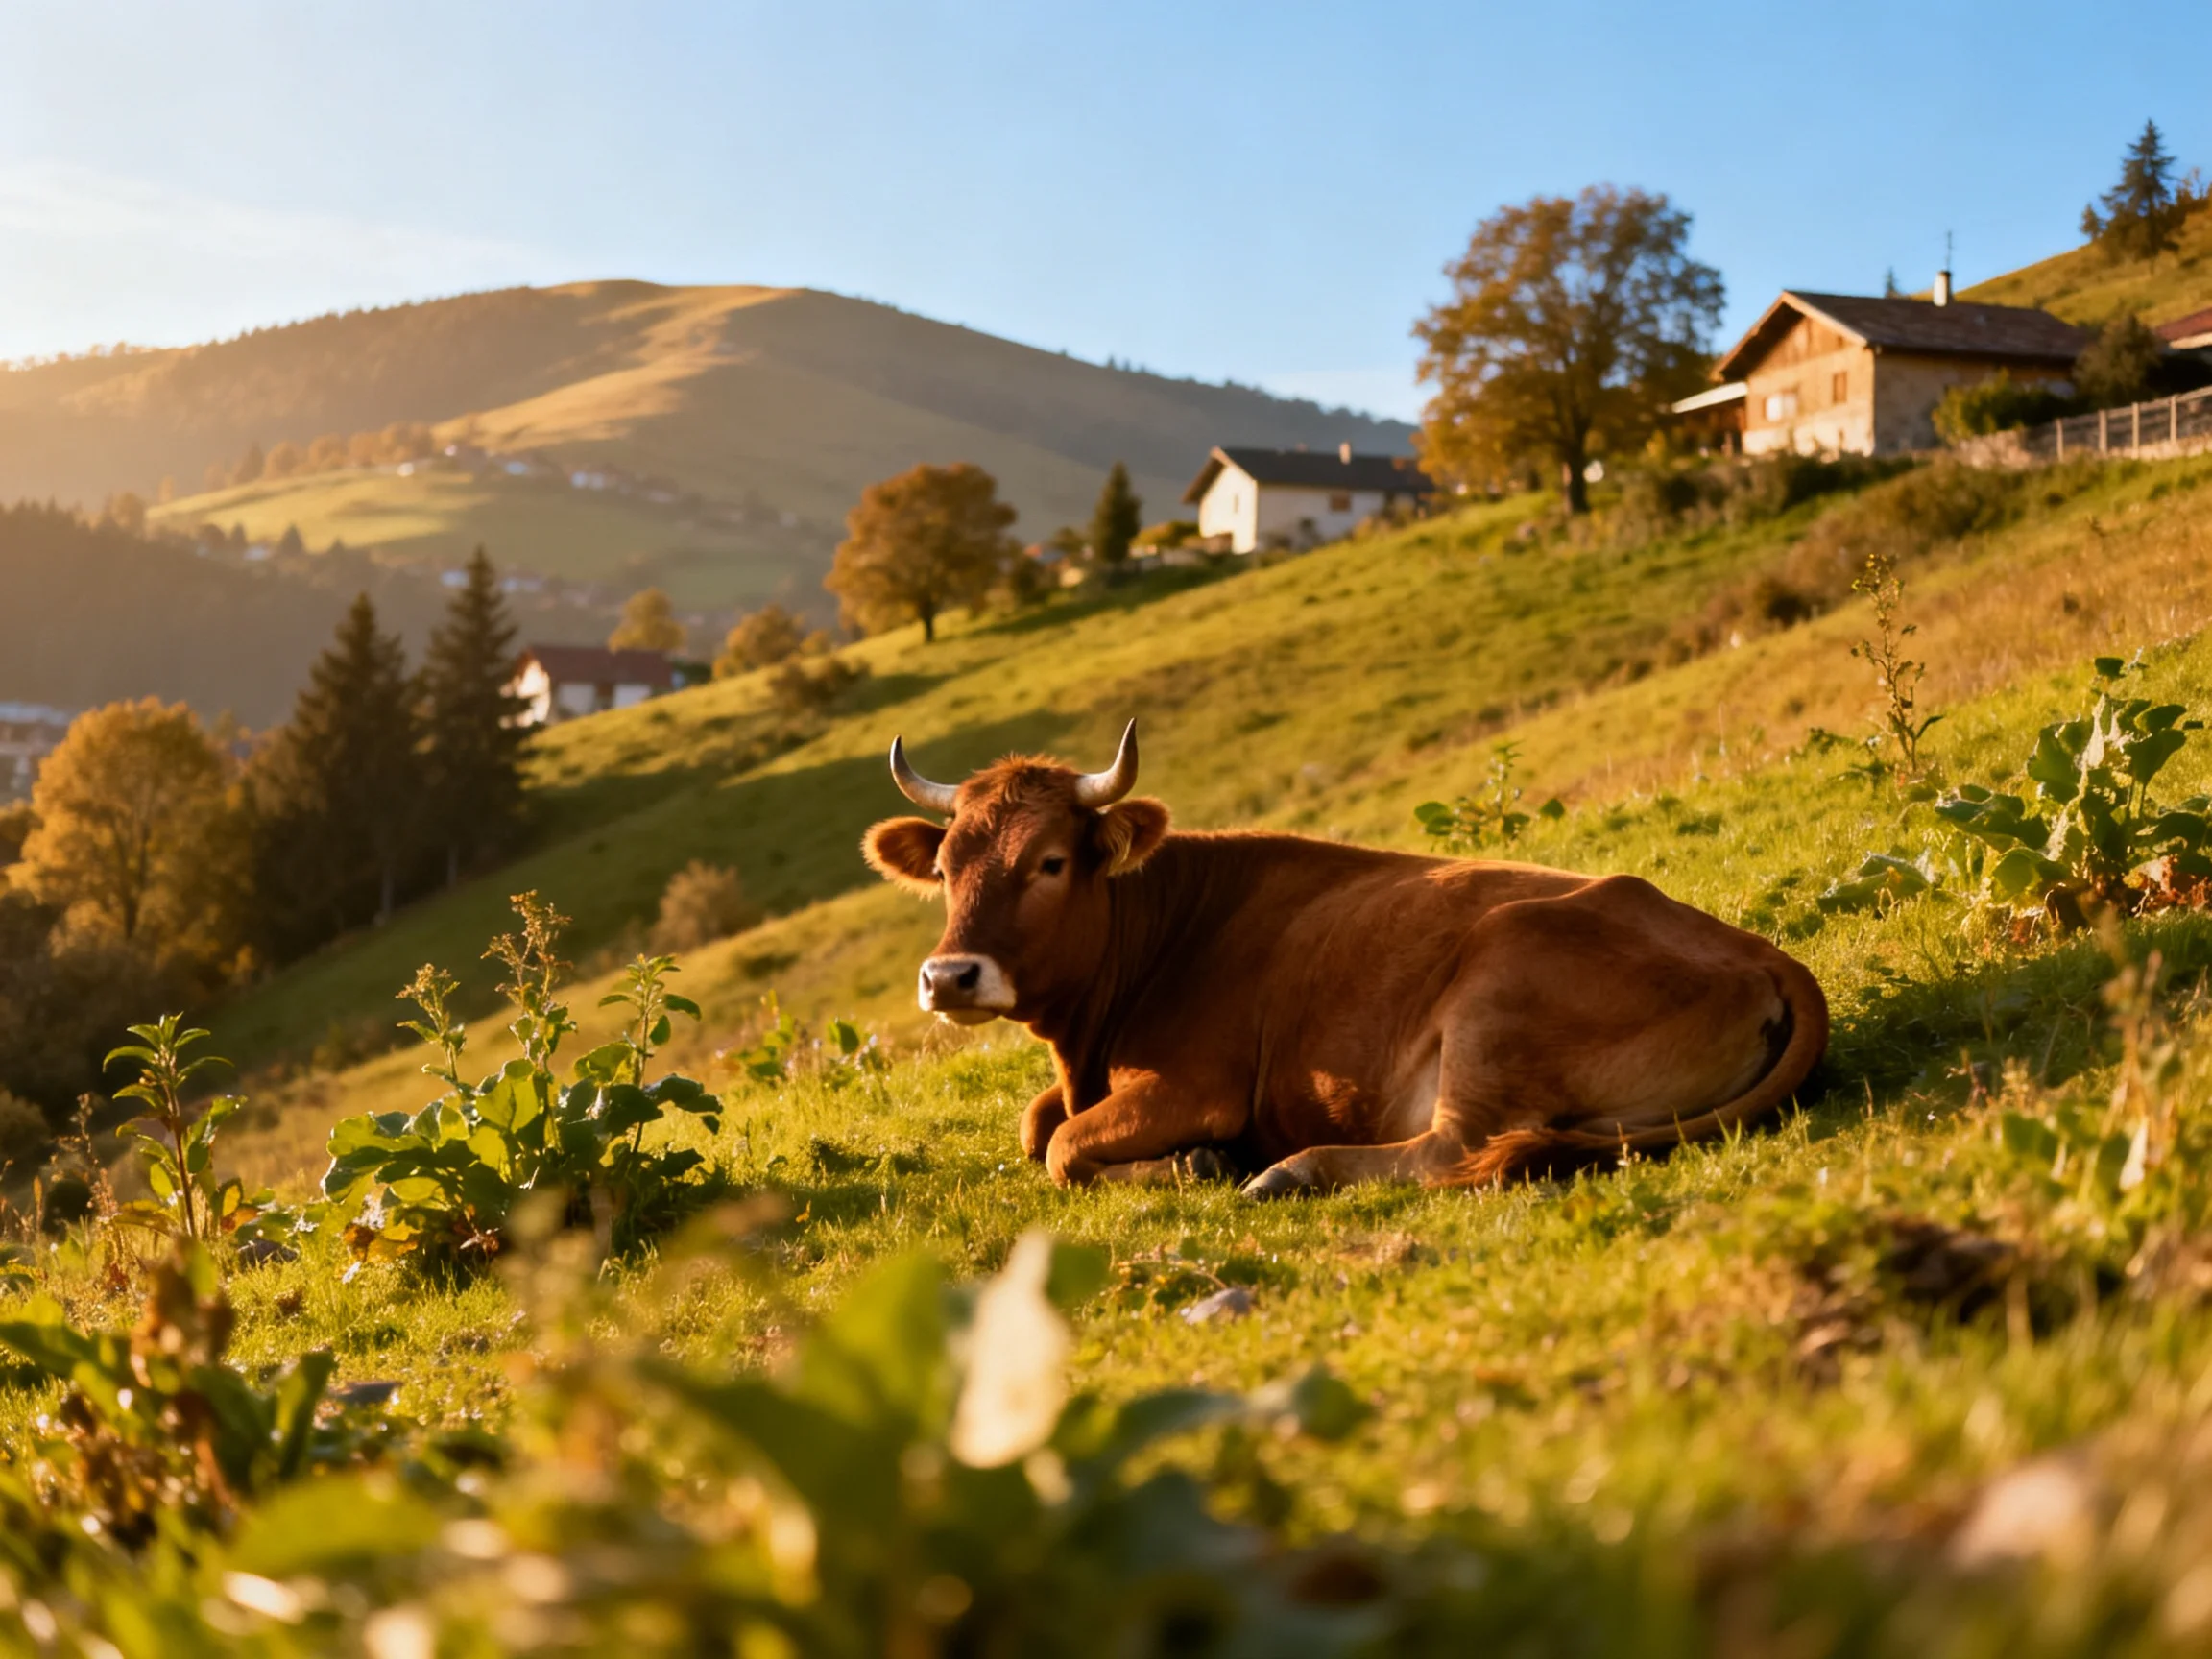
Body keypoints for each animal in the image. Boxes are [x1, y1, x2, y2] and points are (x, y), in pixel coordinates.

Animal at [861, 721, 1828, 1197]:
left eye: (1052, 862)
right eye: (944, 869)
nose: (949, 977)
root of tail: (1758, 950)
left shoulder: (1195, 1085)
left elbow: (1061, 1145)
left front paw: (1199, 1163)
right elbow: (1036, 1125)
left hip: (1499, 984)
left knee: (1453, 1150)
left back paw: (1291, 1170)